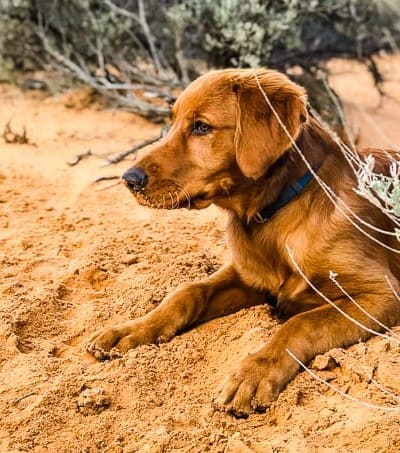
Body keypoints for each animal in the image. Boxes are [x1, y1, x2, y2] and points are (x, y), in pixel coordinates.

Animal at [88, 68, 400, 416]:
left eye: (202, 127)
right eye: (173, 121)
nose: (129, 179)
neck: (276, 214)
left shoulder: (381, 294)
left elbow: (301, 323)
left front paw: (253, 372)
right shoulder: (248, 275)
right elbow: (187, 291)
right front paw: (134, 328)